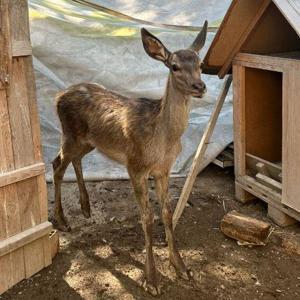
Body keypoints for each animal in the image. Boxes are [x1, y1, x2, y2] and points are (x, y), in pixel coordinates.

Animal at [52, 22, 207, 296]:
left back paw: (86, 207)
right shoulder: (135, 166)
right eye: (174, 66)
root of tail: (58, 96)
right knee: (57, 166)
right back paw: (62, 221)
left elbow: (167, 212)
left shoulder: (164, 169)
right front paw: (152, 280)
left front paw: (182, 267)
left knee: (71, 161)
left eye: (200, 63)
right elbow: (147, 218)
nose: (200, 86)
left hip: (88, 142)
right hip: (69, 134)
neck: (163, 140)